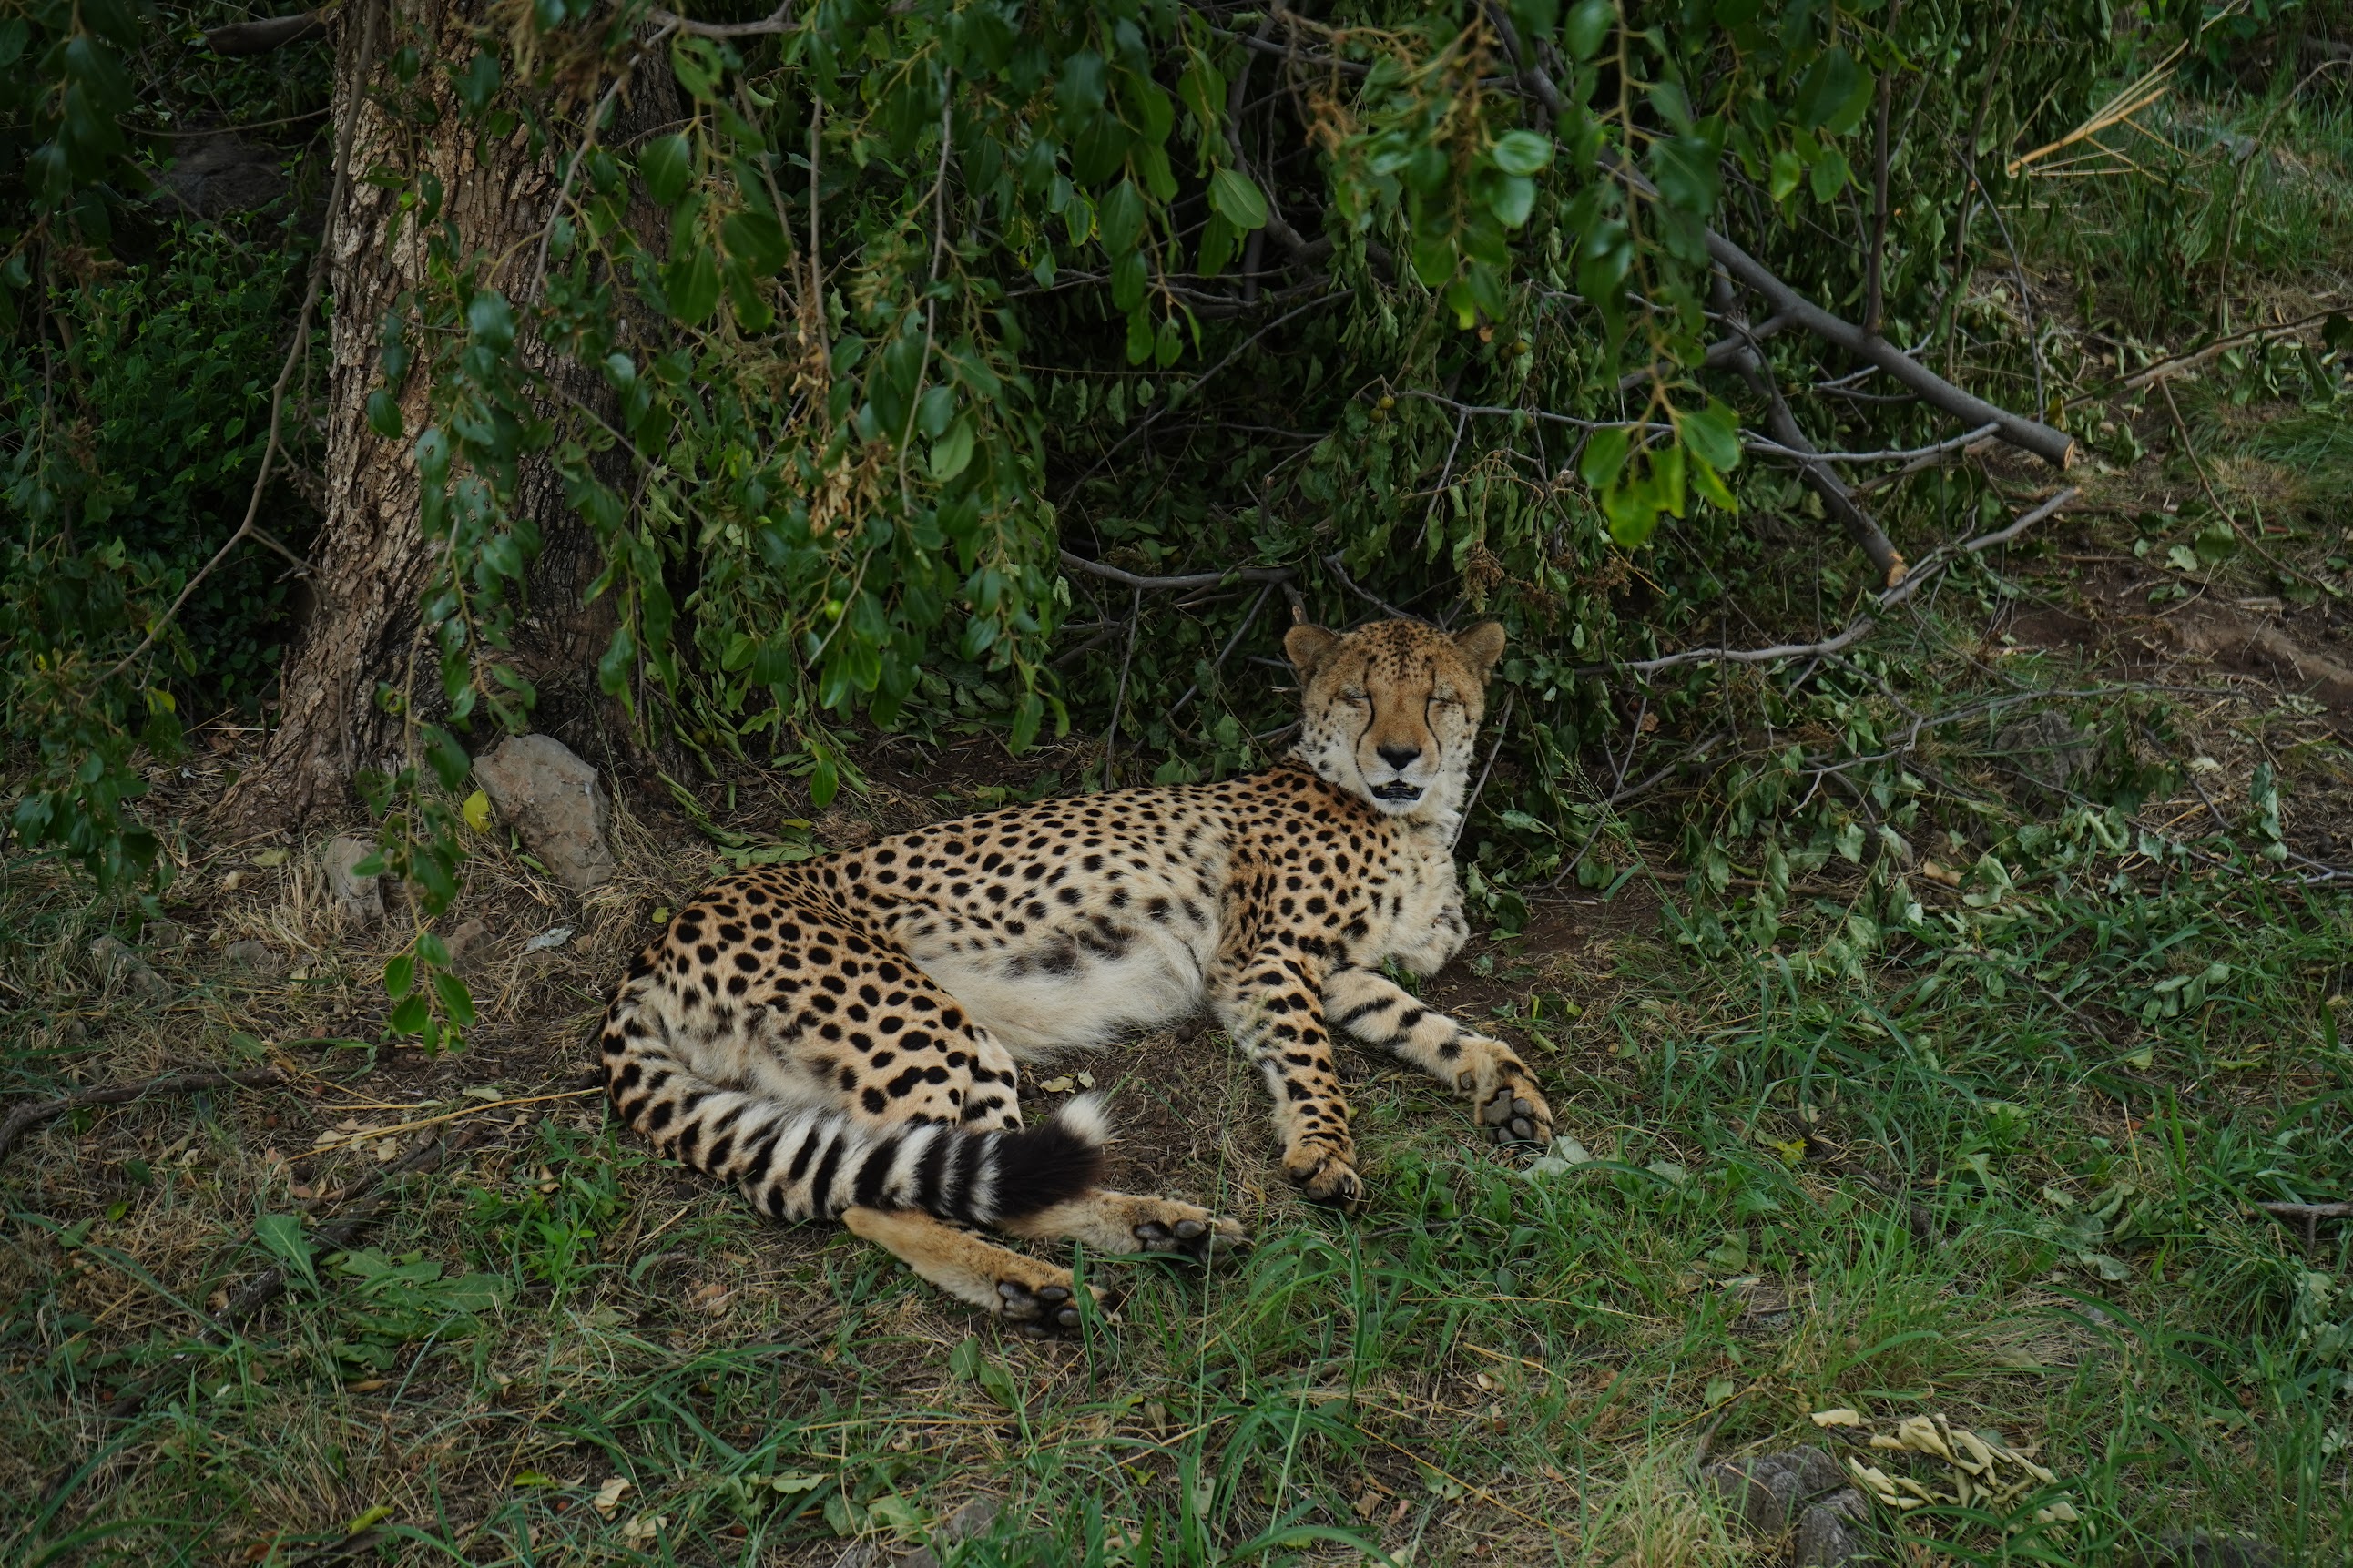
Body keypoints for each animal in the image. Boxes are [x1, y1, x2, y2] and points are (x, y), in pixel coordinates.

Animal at [598, 615, 1555, 1334]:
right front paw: (1322, 1151)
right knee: (889, 1197)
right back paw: (1044, 1283)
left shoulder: (1344, 972)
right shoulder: (1265, 961)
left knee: (984, 1176)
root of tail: (660, 941)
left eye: (1437, 699)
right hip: (928, 1029)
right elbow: (1315, 1065)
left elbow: (1439, 1027)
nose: (1398, 756)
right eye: (1360, 696)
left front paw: (1508, 1092)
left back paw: (1157, 1231)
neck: (1410, 821)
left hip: (932, 1054)